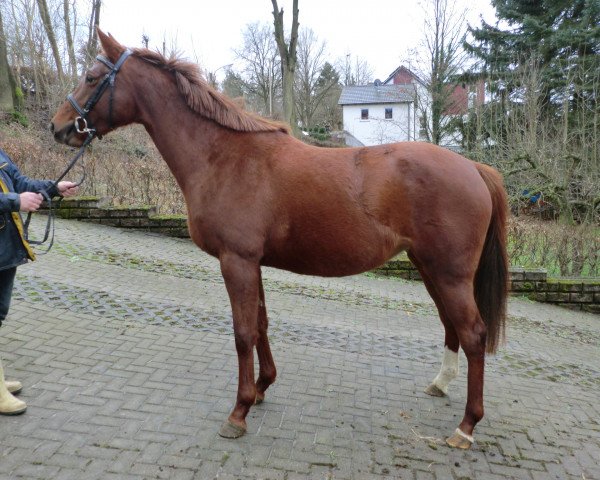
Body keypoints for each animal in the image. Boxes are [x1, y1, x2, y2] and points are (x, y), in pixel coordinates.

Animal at [51, 31, 508, 450]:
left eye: (91, 77)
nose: (58, 127)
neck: (224, 157)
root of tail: (474, 167)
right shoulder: (251, 262)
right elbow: (261, 324)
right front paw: (261, 388)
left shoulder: (235, 261)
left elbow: (242, 332)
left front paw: (237, 413)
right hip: (430, 267)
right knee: (451, 325)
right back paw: (441, 385)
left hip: (449, 274)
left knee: (473, 334)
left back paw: (466, 427)